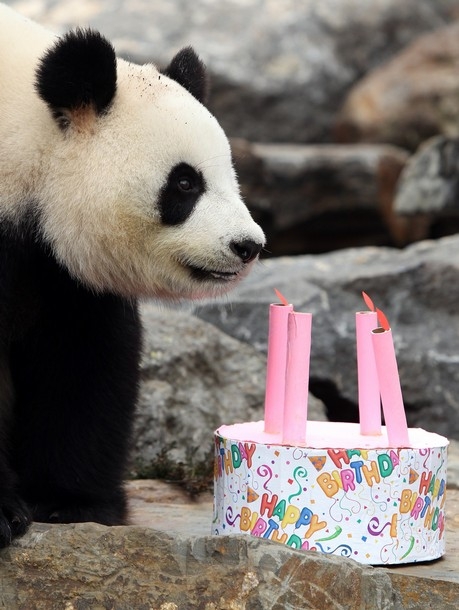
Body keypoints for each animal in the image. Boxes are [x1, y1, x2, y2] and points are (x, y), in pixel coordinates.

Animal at [0, 3, 266, 548]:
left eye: (230, 174)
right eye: (184, 183)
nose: (248, 246)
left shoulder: (62, 272)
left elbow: (81, 361)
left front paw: (70, 503)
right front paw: (3, 514)